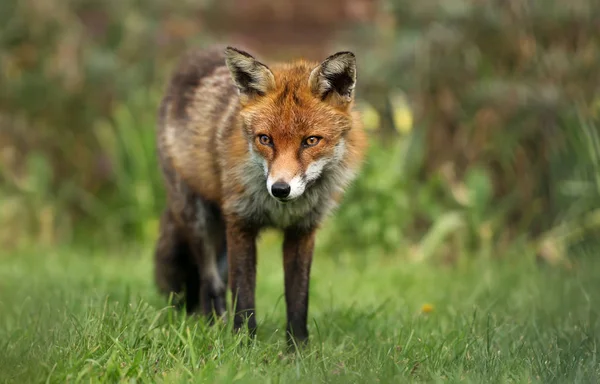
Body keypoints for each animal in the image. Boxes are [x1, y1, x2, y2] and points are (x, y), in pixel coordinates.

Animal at [155, 45, 366, 348]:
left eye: (311, 141)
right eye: (265, 139)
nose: (280, 189)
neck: (280, 211)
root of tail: (198, 54)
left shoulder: (302, 231)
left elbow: (298, 298)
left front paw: (298, 349)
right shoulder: (240, 222)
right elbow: (244, 294)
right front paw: (243, 344)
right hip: (198, 219)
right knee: (210, 281)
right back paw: (213, 326)